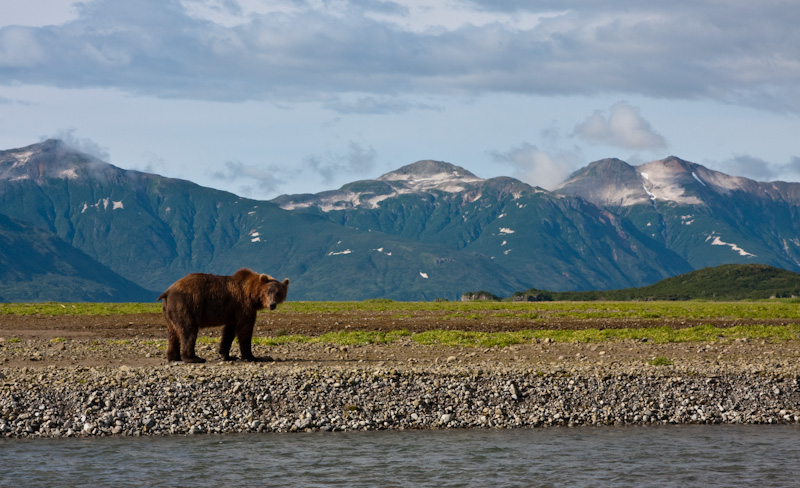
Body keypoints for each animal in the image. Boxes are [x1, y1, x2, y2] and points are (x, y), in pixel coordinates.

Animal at [155, 266, 290, 362]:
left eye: (278, 293)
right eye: (268, 291)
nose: (272, 305)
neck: (251, 294)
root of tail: (167, 291)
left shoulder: (233, 313)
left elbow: (229, 332)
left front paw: (227, 355)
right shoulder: (242, 306)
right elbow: (245, 329)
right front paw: (251, 356)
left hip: (169, 310)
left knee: (173, 332)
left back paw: (173, 357)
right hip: (185, 304)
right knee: (188, 329)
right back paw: (194, 358)